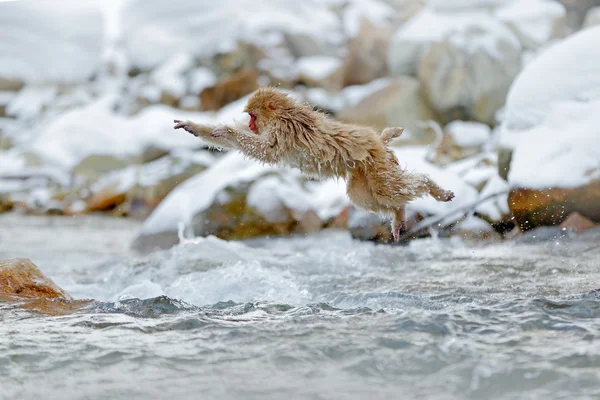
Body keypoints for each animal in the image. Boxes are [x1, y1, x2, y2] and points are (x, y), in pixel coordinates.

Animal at [173, 88, 454, 242]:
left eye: (253, 116)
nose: (251, 125)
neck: (284, 114)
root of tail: (378, 140)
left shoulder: (282, 130)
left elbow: (267, 151)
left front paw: (226, 131)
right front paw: (194, 126)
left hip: (376, 164)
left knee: (390, 188)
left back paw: (433, 188)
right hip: (364, 173)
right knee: (365, 196)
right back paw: (399, 214)